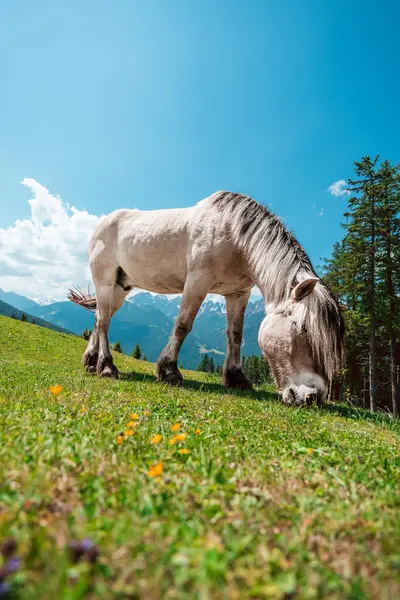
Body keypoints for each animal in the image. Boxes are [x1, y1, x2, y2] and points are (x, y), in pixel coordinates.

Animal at [68, 192, 344, 408]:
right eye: (302, 328)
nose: (313, 397)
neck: (233, 234)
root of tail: (102, 224)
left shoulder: (238, 293)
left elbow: (236, 335)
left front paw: (236, 378)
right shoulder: (197, 281)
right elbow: (183, 324)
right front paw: (168, 371)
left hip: (120, 287)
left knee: (100, 317)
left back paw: (91, 361)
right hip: (105, 280)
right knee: (104, 321)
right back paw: (107, 366)